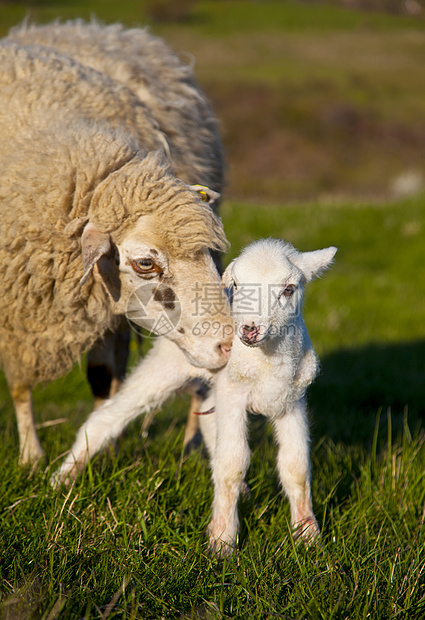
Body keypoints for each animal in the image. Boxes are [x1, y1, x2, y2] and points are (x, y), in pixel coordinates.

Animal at [0, 27, 232, 464]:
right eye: (145, 263)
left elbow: (104, 375)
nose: (228, 345)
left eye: (209, 256)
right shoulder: (17, 316)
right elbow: (21, 386)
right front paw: (31, 458)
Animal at [196, 239, 338, 556]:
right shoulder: (232, 393)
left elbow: (296, 465)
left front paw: (308, 535)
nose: (249, 329)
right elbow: (232, 462)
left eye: (288, 289)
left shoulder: (291, 399)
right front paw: (222, 541)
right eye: (236, 285)